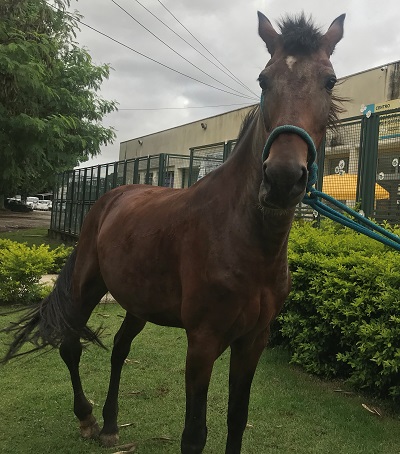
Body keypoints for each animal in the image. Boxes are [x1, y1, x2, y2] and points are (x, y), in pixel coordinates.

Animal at [1, 9, 346, 454]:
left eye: (329, 80)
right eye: (263, 80)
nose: (283, 178)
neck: (244, 240)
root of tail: (110, 198)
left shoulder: (253, 340)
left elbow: (237, 420)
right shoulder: (202, 342)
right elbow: (194, 434)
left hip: (138, 301)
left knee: (119, 348)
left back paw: (110, 423)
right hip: (87, 286)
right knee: (71, 345)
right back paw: (88, 418)